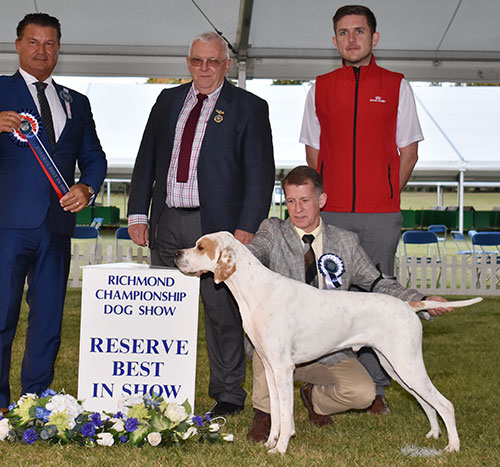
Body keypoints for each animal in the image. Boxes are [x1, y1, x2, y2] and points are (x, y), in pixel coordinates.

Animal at [175, 232, 480, 456]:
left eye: (200, 247)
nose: (177, 254)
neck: (254, 290)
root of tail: (408, 304)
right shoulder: (270, 368)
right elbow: (276, 413)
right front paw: (271, 441)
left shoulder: (283, 369)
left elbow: (285, 414)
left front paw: (281, 449)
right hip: (397, 368)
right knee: (427, 403)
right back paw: (433, 433)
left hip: (407, 366)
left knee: (445, 404)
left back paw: (453, 446)